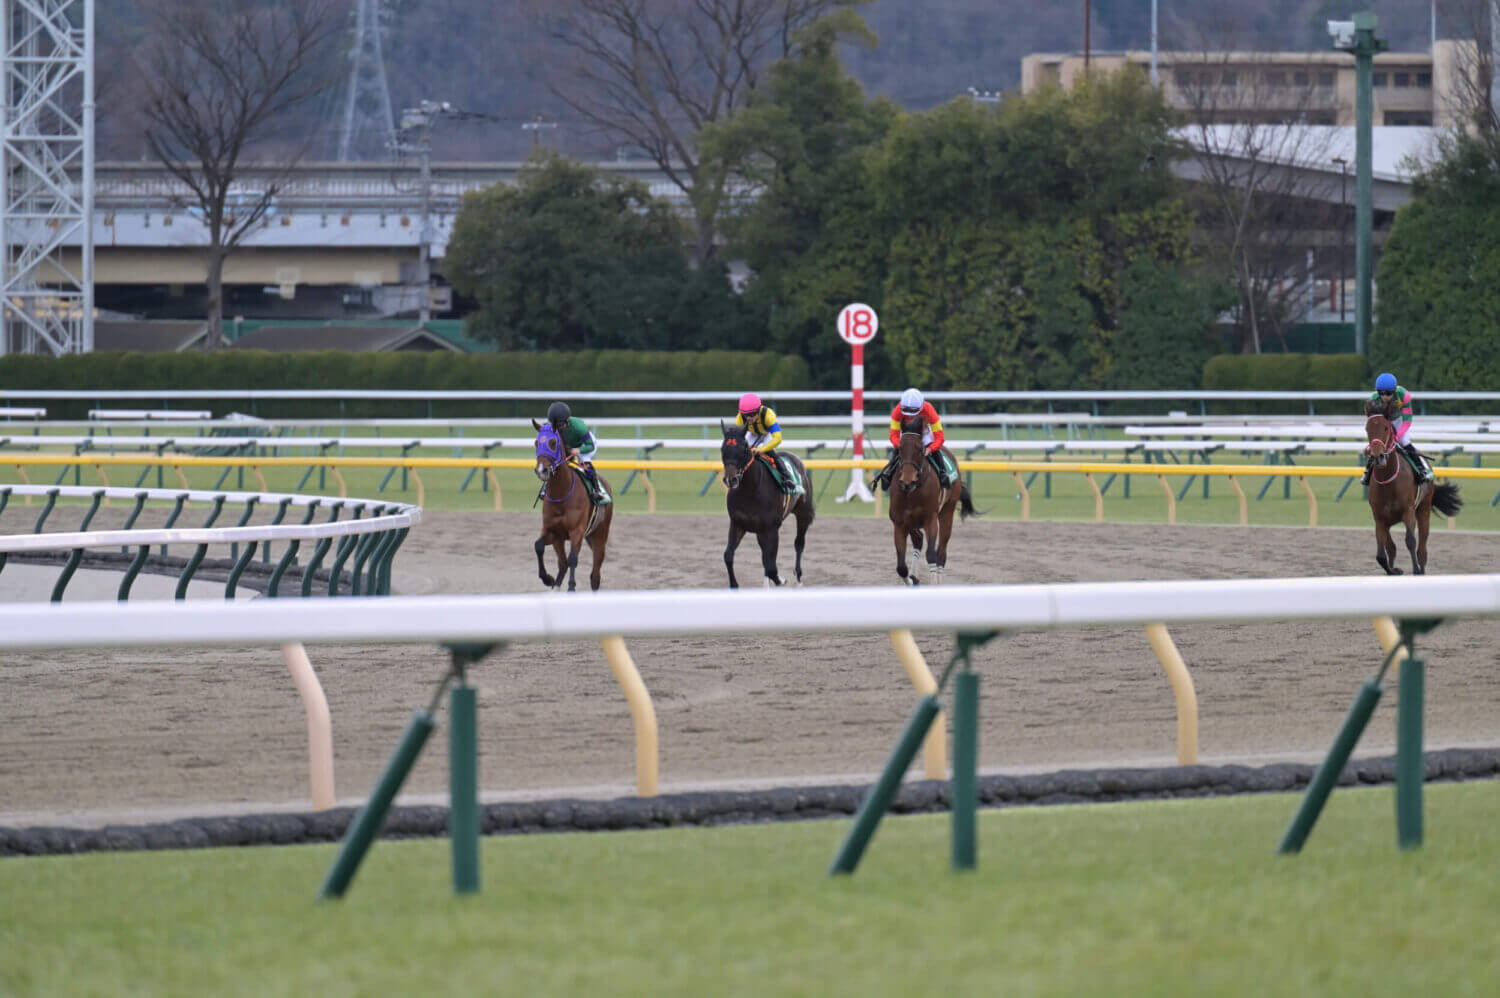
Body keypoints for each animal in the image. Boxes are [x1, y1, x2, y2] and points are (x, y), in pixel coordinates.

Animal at [534, 420, 615, 591]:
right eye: (536, 443)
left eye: (553, 443)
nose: (541, 470)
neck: (561, 495)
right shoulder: (553, 532)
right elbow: (538, 546)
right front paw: (548, 579)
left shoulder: (577, 531)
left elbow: (573, 559)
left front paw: (571, 588)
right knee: (562, 564)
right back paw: (555, 586)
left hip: (600, 535)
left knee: (595, 575)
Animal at [720, 417, 816, 588]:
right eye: (723, 449)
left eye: (744, 449)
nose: (731, 480)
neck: (750, 491)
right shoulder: (738, 524)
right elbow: (728, 555)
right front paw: (734, 585)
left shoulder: (771, 529)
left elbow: (771, 566)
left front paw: (781, 580)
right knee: (765, 554)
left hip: (803, 513)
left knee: (799, 543)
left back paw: (798, 578)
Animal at [882, 411, 978, 585]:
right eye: (900, 448)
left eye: (920, 449)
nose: (907, 482)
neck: (912, 492)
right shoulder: (899, 523)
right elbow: (901, 567)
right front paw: (911, 579)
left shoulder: (930, 519)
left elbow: (932, 554)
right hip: (912, 523)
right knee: (919, 540)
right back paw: (914, 576)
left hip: (947, 512)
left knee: (941, 552)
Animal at [1368, 399, 1458, 576]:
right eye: (1367, 428)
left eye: (1386, 427)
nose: (1377, 457)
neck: (1388, 482)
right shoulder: (1379, 518)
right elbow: (1381, 555)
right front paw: (1394, 570)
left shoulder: (1408, 511)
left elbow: (1410, 541)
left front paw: (1416, 570)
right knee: (1391, 547)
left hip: (1424, 508)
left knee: (1422, 546)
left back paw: (1421, 567)